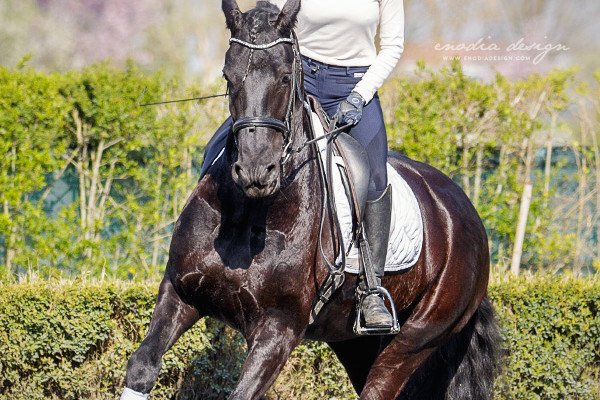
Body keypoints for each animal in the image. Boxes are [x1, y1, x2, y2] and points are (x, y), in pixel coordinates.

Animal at [120, 1, 496, 398]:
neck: (250, 214)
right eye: (228, 76)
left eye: (286, 77)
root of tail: (463, 210)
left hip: (418, 336)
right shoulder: (181, 293)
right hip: (354, 342)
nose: (257, 170)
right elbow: (142, 365)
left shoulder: (279, 330)